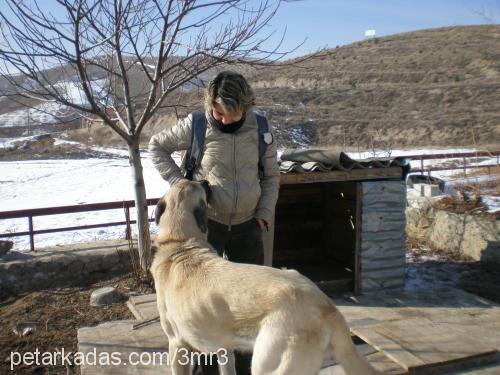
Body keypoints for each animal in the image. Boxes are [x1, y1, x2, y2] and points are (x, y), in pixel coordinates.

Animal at [150, 181, 380, 374]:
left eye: (200, 185)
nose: (206, 181)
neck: (179, 242)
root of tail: (326, 306)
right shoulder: (224, 348)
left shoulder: (177, 344)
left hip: (268, 364)